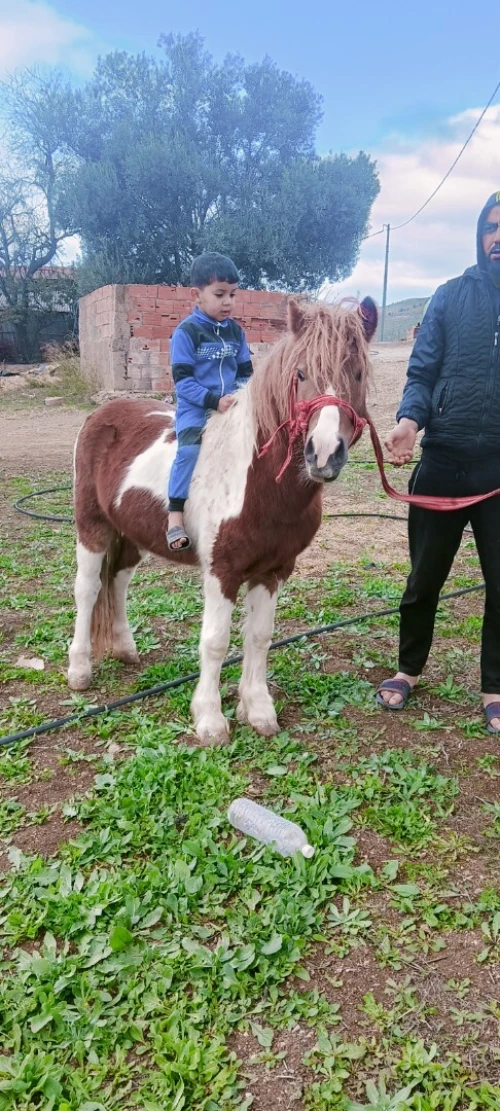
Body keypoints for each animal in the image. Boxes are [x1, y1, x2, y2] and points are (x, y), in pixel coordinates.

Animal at [68, 296, 378, 744]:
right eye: (300, 373)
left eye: (357, 373)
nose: (323, 454)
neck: (257, 483)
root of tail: (103, 412)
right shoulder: (222, 570)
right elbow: (215, 641)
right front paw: (210, 720)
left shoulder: (274, 570)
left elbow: (260, 637)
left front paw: (258, 709)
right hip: (91, 528)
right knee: (88, 589)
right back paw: (79, 670)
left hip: (132, 535)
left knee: (119, 580)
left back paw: (126, 649)